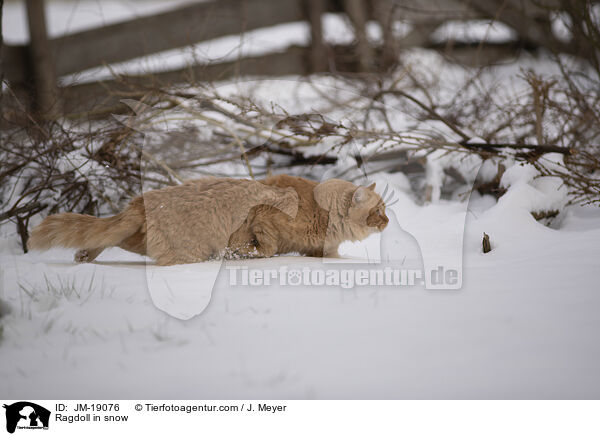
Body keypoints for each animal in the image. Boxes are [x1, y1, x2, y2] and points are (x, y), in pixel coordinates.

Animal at [225, 175, 390, 258]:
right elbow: (266, 248)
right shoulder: (264, 220)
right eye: (378, 211)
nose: (388, 221)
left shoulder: (324, 251)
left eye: (384, 210)